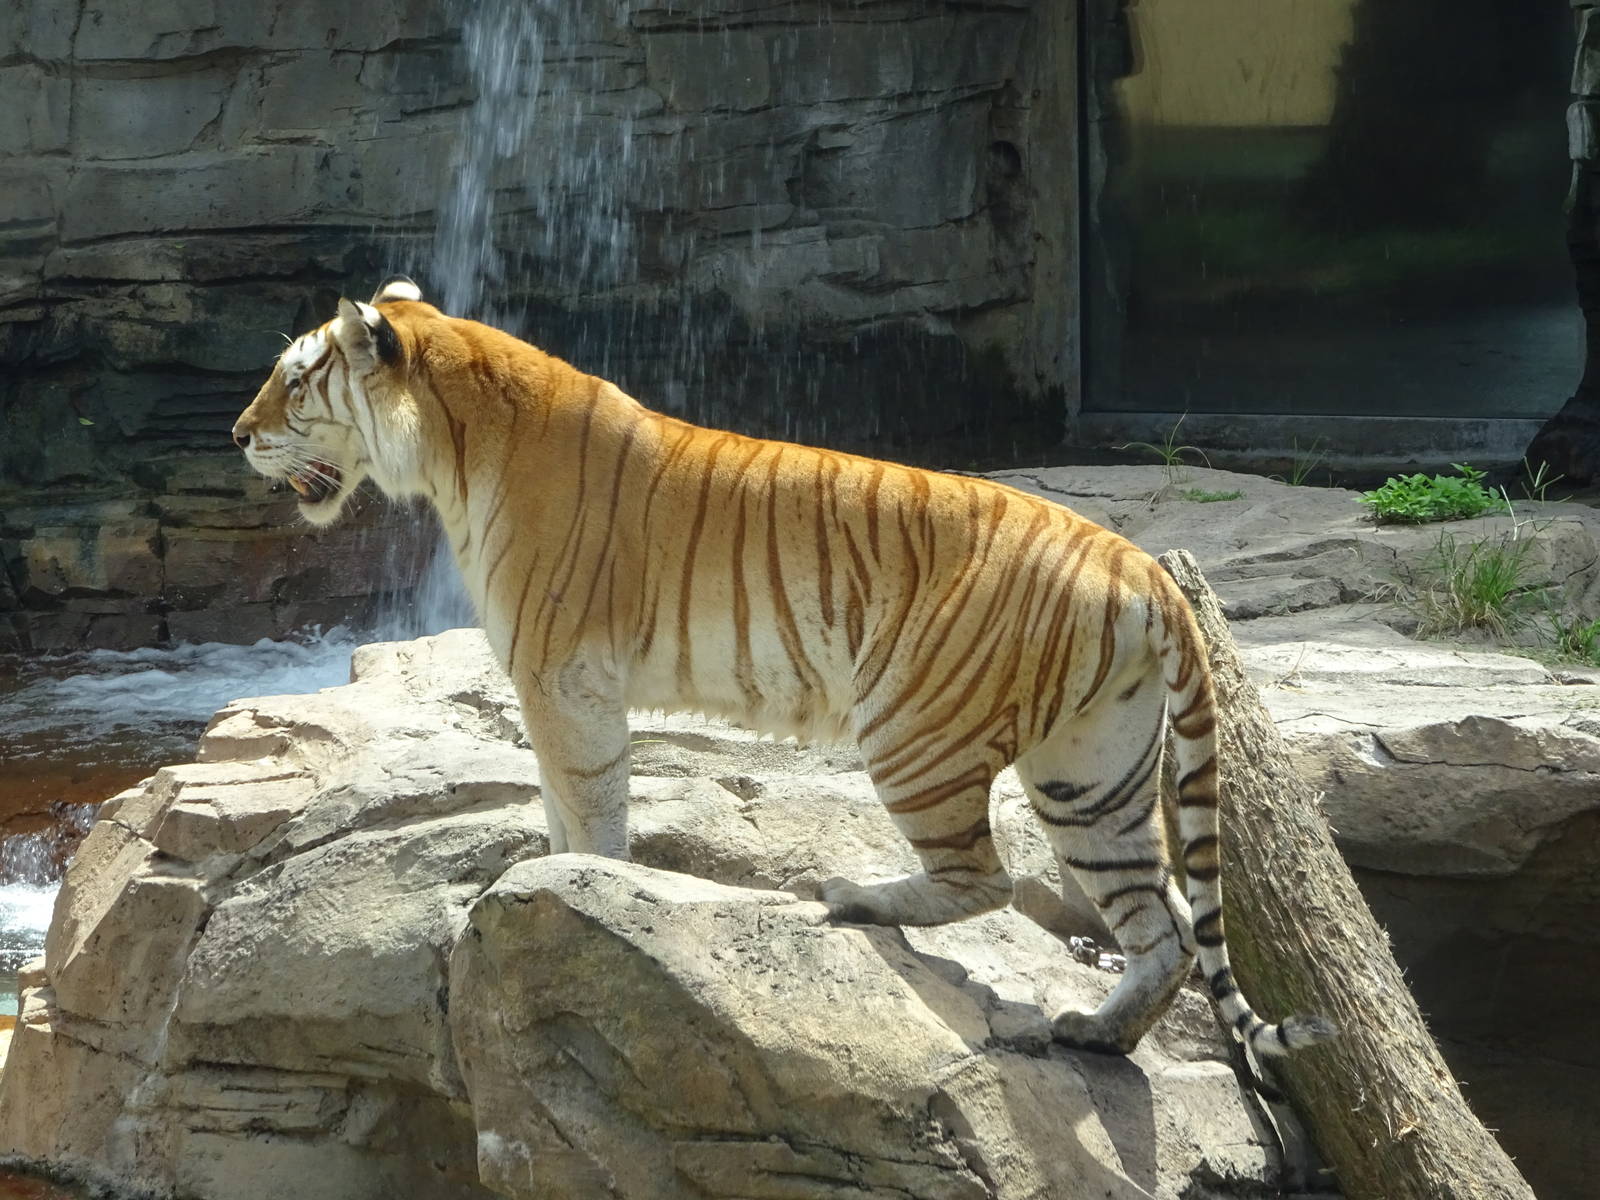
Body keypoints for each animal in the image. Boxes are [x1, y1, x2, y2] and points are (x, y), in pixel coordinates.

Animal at [232, 275, 1335, 1059]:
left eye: (295, 379)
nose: (238, 434)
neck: (453, 451)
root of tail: (1140, 561)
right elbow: (554, 802)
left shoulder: (563, 679)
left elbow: (586, 806)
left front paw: (574, 885)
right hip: (1090, 775)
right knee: (1162, 932)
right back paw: (1094, 1034)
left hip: (912, 729)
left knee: (988, 877)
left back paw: (852, 898)